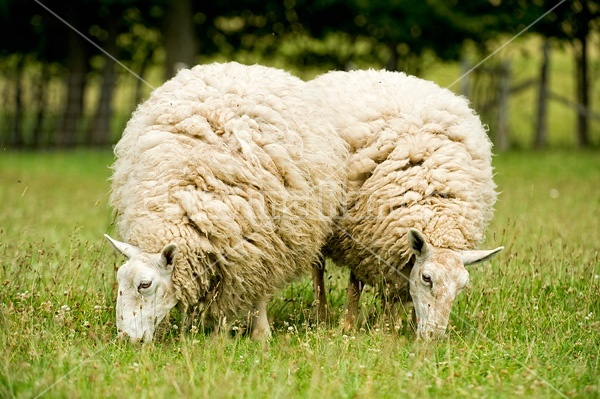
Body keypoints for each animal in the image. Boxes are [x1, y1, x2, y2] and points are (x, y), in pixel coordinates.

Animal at [103, 61, 346, 344]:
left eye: (145, 284)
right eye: (120, 282)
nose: (124, 339)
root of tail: (243, 66)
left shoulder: (261, 246)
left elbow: (253, 291)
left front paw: (257, 334)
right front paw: (198, 329)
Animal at [308, 69, 504, 340]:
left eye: (462, 286)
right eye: (427, 278)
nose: (435, 337)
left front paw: (396, 326)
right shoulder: (361, 236)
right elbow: (355, 283)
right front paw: (349, 324)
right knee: (318, 267)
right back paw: (322, 314)